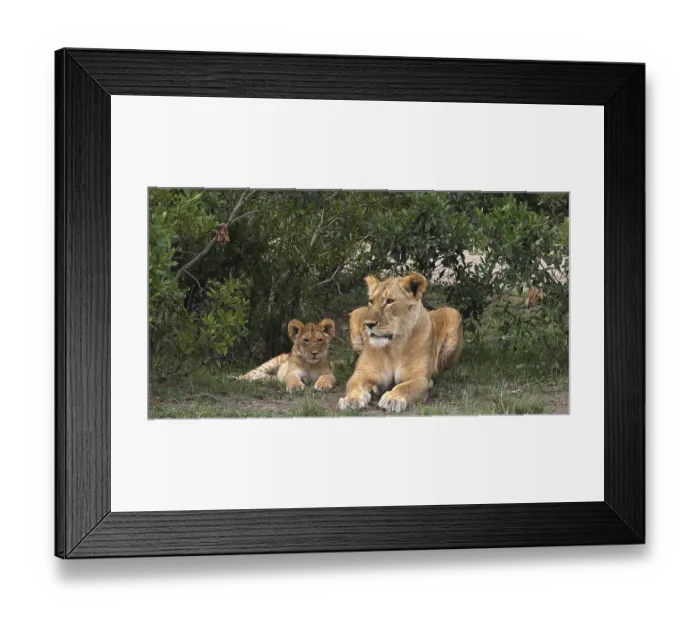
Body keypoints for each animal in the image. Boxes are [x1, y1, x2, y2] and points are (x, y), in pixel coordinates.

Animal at [339, 273, 463, 413]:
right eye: (371, 301)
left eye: (389, 301)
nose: (368, 324)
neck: (395, 345)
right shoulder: (362, 373)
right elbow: (353, 385)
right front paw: (351, 400)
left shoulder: (418, 378)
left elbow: (404, 387)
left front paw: (392, 399)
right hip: (355, 313)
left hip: (453, 313)